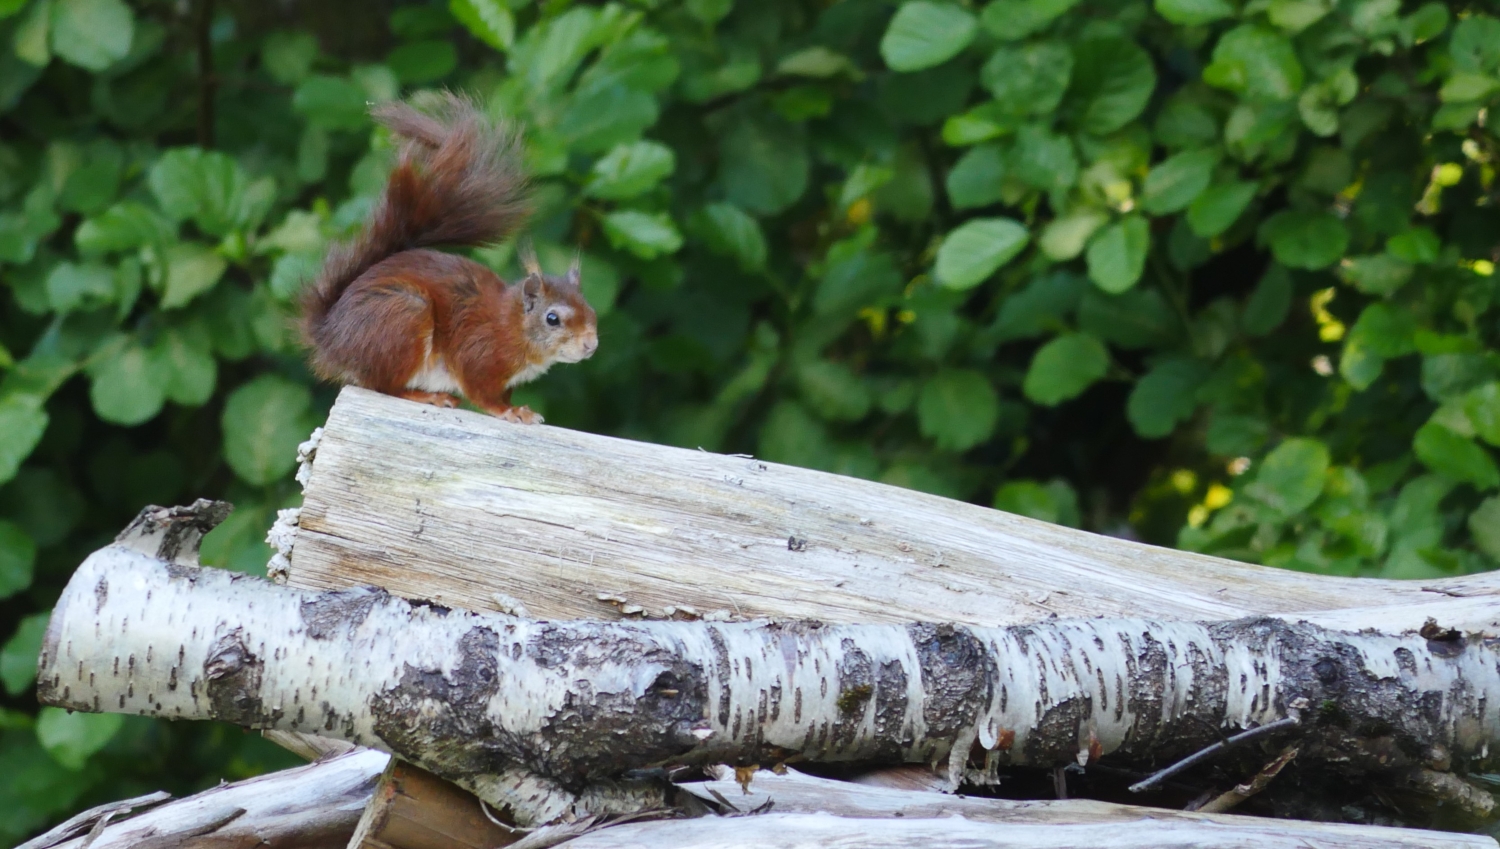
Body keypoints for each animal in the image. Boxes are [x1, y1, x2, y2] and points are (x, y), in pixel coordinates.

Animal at [298, 93, 598, 424]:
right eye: (552, 319)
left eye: (590, 309)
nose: (591, 345)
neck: (511, 325)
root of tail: (330, 337)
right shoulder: (478, 355)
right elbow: (483, 394)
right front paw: (512, 412)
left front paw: (521, 408)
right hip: (403, 319)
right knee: (384, 387)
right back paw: (429, 396)